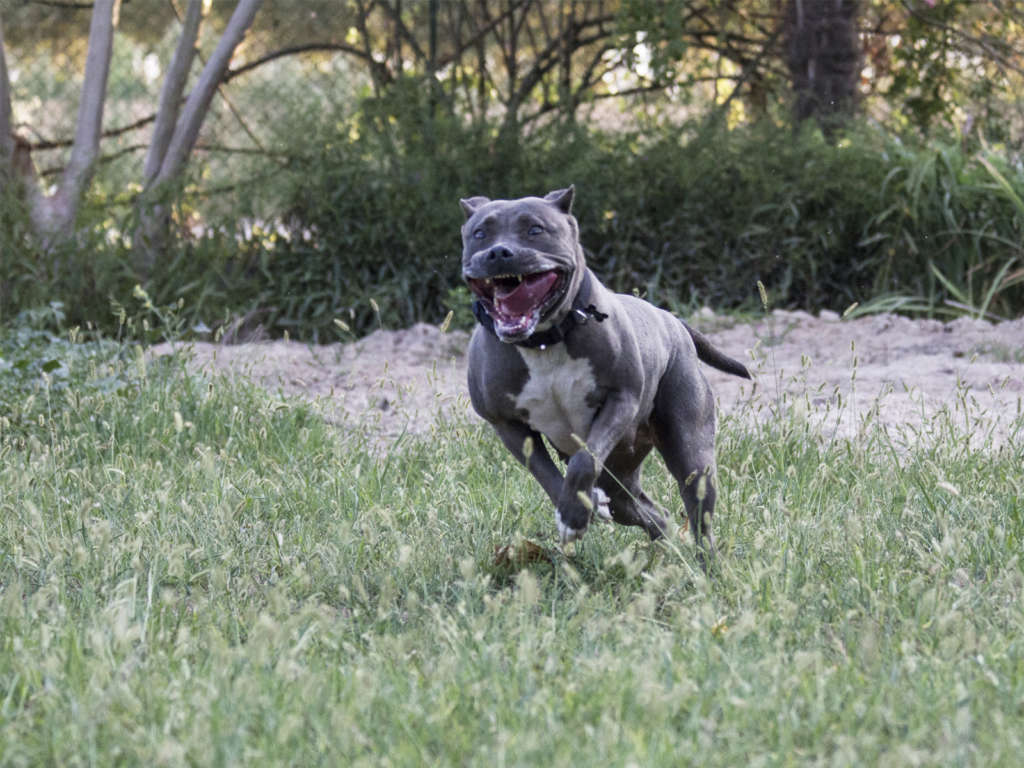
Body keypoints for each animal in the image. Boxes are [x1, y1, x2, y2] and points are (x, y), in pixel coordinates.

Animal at [460, 188, 749, 565]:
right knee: (651, 514)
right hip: (620, 479)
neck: (545, 340)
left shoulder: (621, 399)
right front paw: (575, 512)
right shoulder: (507, 424)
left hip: (689, 447)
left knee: (699, 509)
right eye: (480, 233)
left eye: (535, 230)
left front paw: (574, 513)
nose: (498, 252)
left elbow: (585, 459)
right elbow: (548, 475)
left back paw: (707, 564)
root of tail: (671, 318)